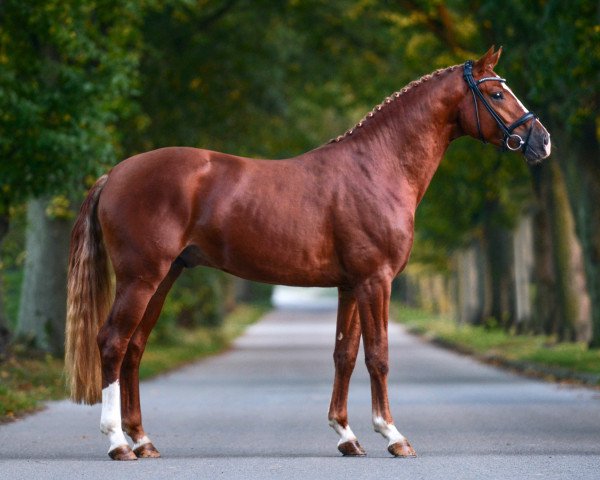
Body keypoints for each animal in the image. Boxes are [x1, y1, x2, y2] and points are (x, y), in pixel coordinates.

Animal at [64, 48, 548, 462]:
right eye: (496, 93)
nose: (541, 141)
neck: (378, 166)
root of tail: (116, 173)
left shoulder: (350, 286)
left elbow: (344, 355)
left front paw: (347, 436)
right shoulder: (376, 281)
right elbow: (378, 355)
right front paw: (393, 436)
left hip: (164, 278)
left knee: (134, 348)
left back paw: (143, 441)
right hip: (140, 279)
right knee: (112, 342)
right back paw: (117, 443)